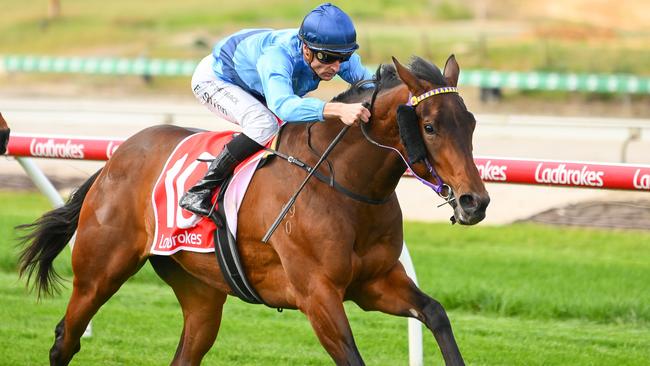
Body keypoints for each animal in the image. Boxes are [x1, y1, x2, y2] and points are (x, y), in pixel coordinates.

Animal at [17, 55, 486, 366]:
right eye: (430, 127)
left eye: (471, 123)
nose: (475, 202)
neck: (345, 187)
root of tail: (115, 159)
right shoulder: (318, 295)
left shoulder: (376, 283)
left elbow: (436, 314)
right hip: (99, 271)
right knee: (66, 338)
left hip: (200, 292)